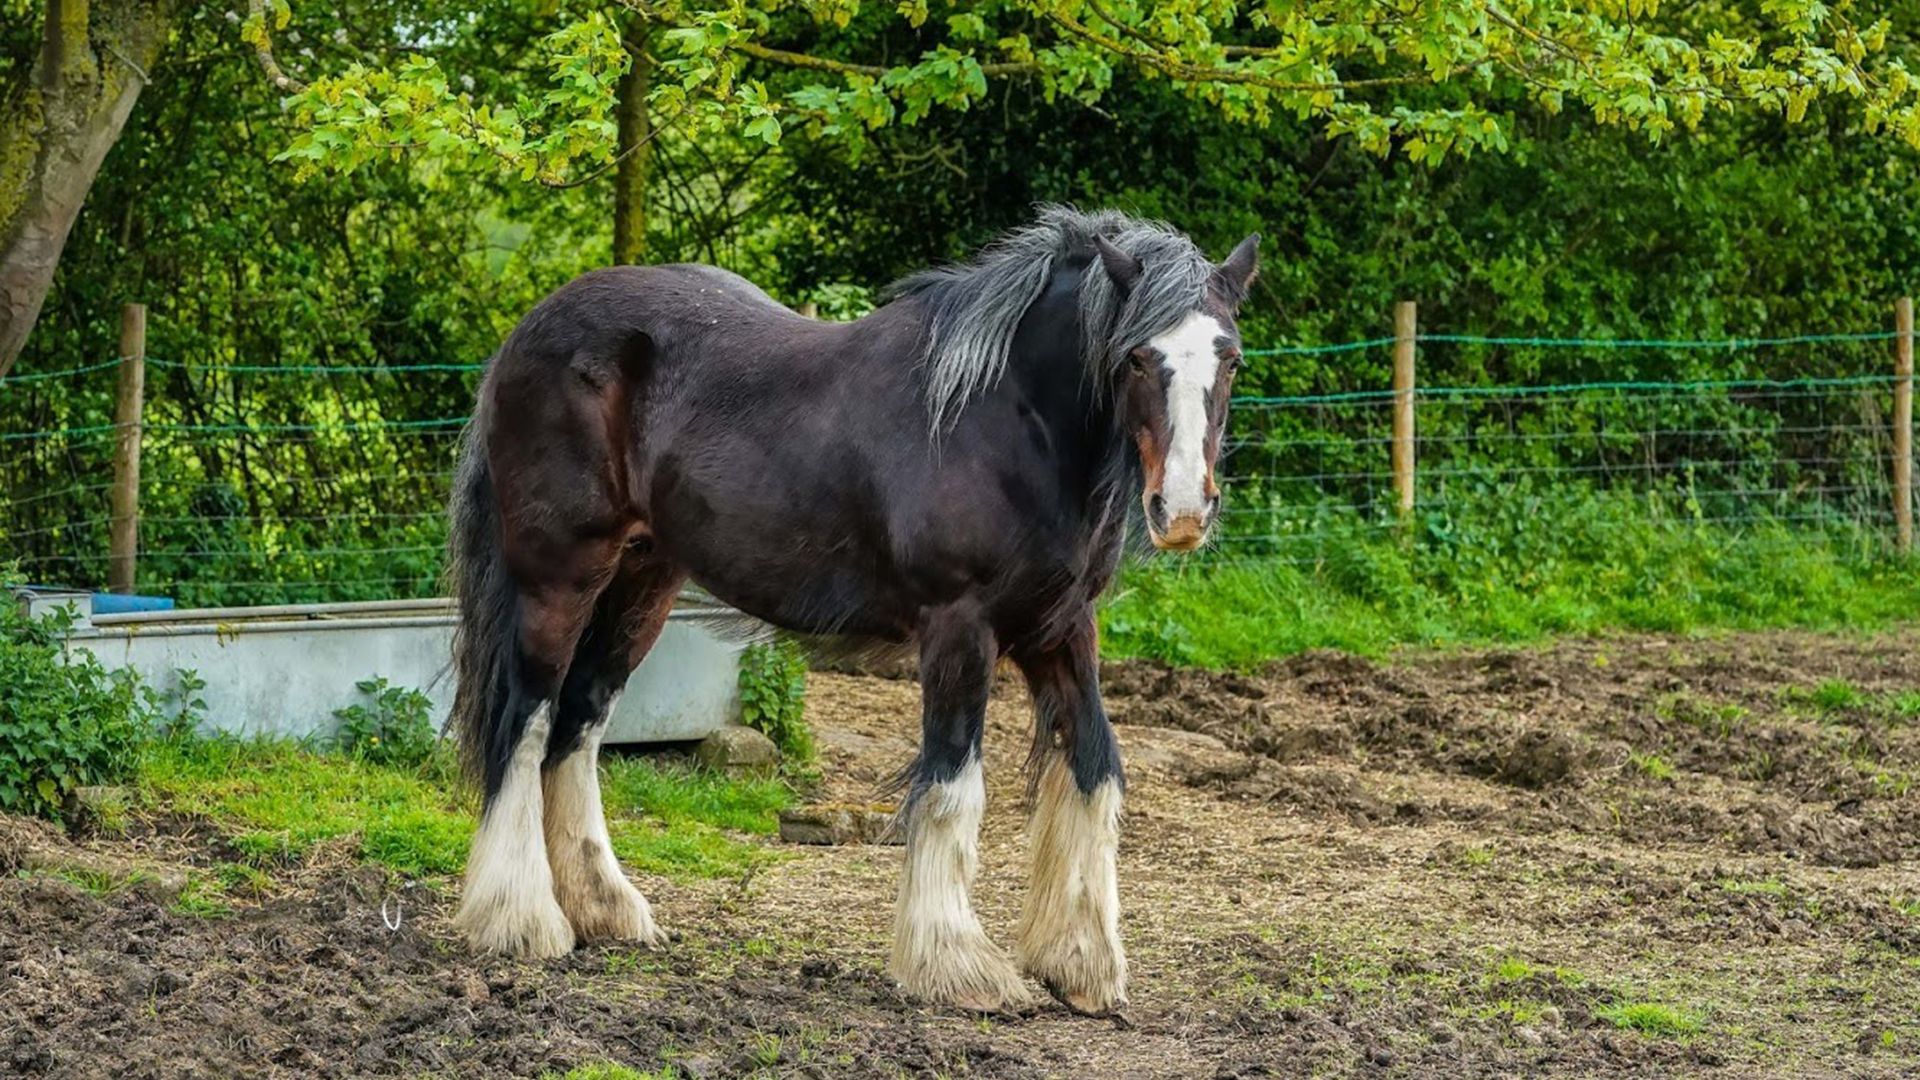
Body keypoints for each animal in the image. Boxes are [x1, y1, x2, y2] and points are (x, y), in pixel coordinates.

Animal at [444, 206, 1258, 1015]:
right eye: (1135, 359)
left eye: (1231, 359)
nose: (1183, 510)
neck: (1004, 417)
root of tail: (530, 329)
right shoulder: (960, 628)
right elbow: (952, 786)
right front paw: (957, 966)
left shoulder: (1061, 628)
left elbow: (1095, 769)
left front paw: (1081, 962)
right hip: (559, 576)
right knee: (525, 721)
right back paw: (521, 919)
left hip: (641, 582)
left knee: (579, 726)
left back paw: (604, 909)